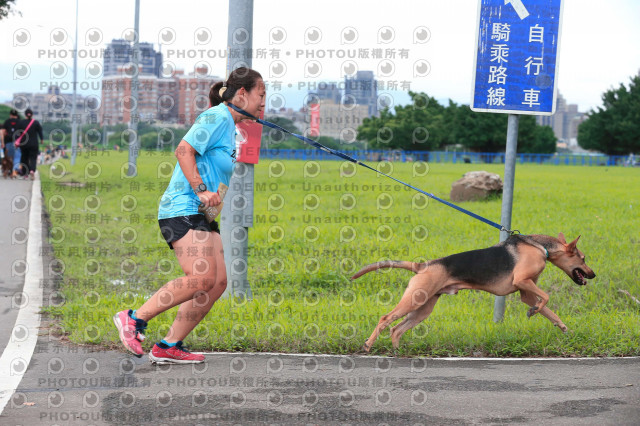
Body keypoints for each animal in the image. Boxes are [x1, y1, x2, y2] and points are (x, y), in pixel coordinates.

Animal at [352, 235, 596, 352]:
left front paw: (561, 326)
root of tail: (423, 266)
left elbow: (548, 309)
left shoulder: (525, 291)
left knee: (397, 329)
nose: (593, 274)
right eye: (583, 258)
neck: (541, 247)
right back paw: (368, 344)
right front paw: (534, 311)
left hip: (423, 307)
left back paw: (397, 352)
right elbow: (546, 297)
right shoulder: (522, 281)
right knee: (385, 319)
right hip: (414, 300)